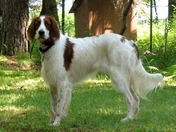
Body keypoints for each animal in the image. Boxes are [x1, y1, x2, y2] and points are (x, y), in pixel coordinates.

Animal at [27, 15, 164, 126]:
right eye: (37, 24)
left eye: (47, 24)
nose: (41, 32)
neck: (52, 46)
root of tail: (129, 41)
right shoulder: (53, 85)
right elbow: (53, 107)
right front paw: (51, 122)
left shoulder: (62, 84)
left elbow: (60, 107)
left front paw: (56, 123)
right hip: (125, 78)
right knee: (136, 99)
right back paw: (133, 119)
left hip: (119, 77)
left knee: (130, 99)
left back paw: (127, 119)